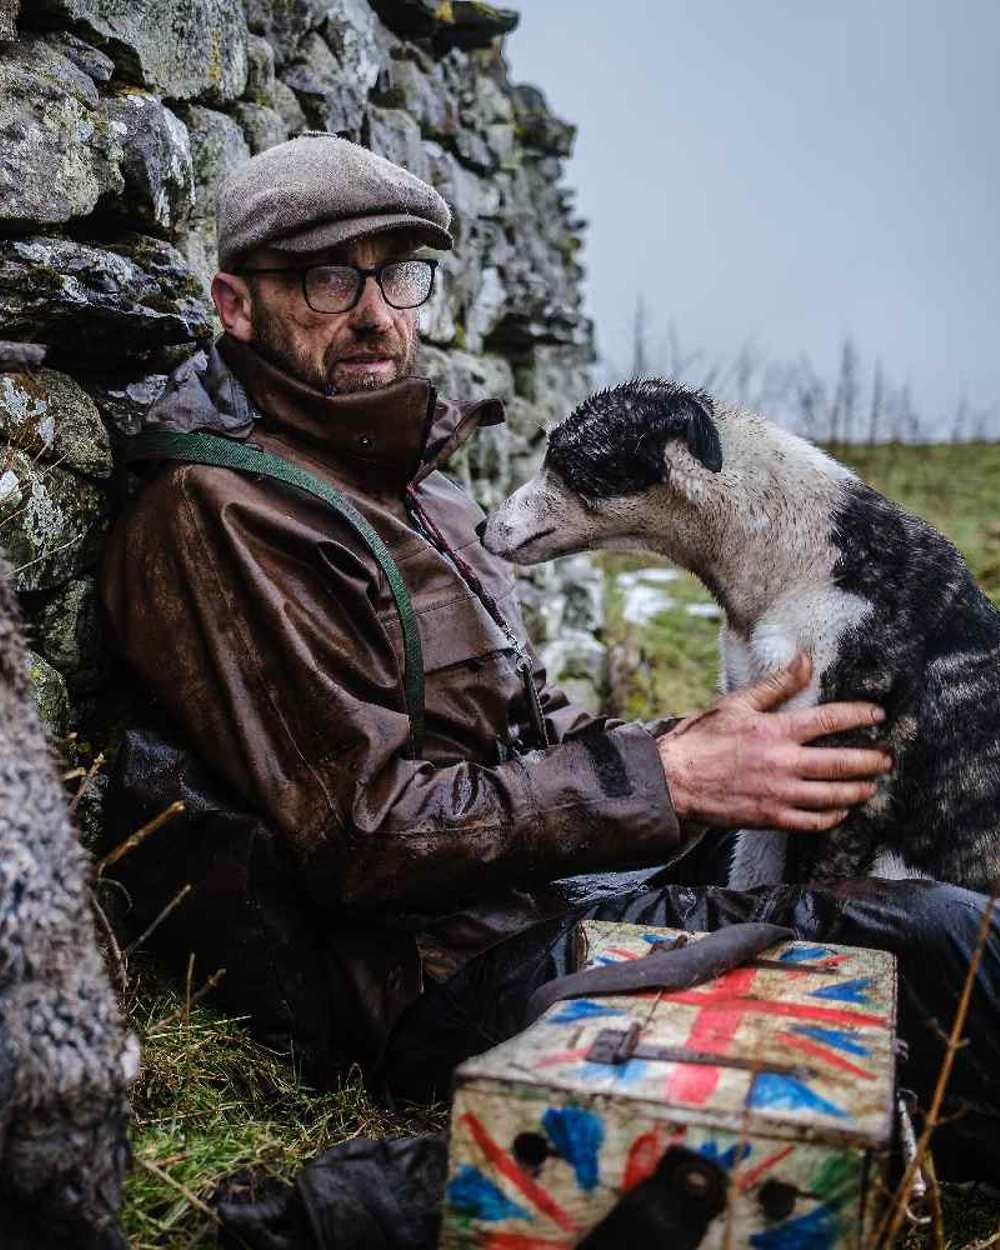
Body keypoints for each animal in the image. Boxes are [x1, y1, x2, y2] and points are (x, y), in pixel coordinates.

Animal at [482, 375, 1000, 895]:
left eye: (562, 460)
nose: (483, 526)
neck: (799, 564)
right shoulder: (774, 762)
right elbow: (749, 872)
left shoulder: (842, 783)